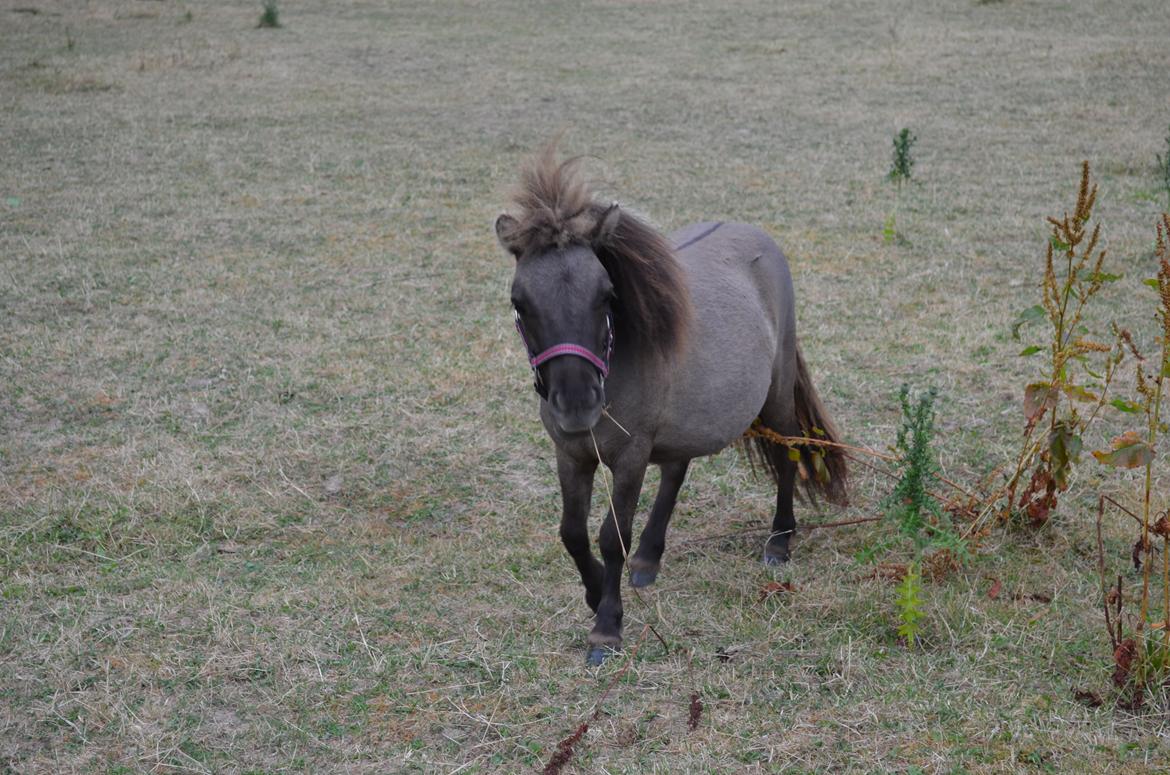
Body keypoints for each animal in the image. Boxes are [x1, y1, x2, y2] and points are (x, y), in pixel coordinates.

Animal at [489, 145, 847, 669]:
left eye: (607, 295)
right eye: (520, 301)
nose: (577, 406)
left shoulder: (630, 456)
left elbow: (609, 536)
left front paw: (607, 625)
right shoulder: (571, 454)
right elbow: (572, 533)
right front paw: (596, 593)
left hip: (777, 394)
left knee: (787, 455)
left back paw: (780, 540)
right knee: (677, 471)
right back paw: (648, 556)